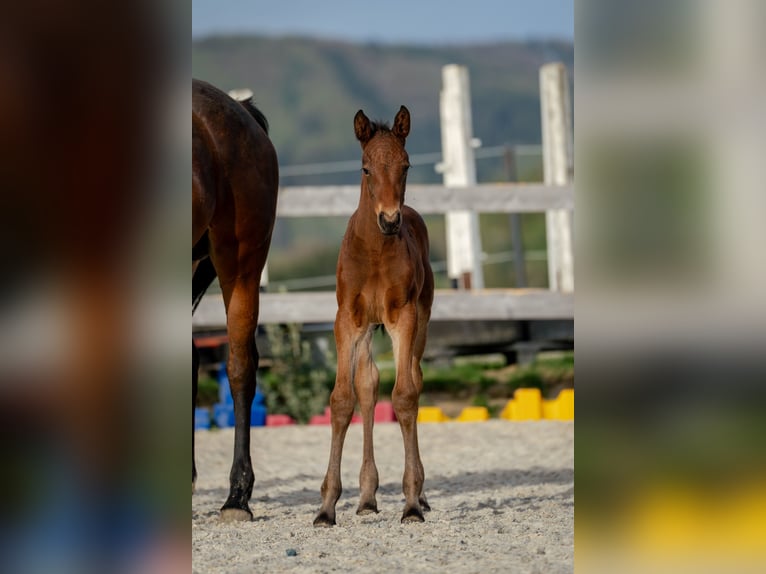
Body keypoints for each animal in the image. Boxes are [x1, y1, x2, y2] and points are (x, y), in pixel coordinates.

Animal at [314, 106, 434, 526]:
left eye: (406, 165)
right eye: (366, 168)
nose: (389, 220)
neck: (375, 252)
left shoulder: (405, 318)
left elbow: (404, 396)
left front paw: (411, 502)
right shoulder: (347, 321)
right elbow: (342, 400)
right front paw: (326, 507)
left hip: (421, 323)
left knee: (413, 379)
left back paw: (419, 494)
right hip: (367, 330)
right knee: (368, 386)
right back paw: (366, 496)